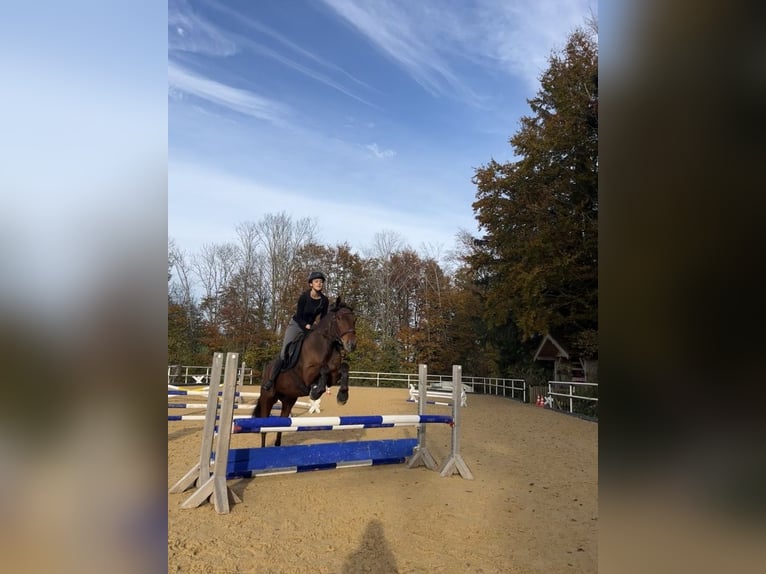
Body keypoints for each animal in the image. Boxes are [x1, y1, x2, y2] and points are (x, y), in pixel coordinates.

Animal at [254, 296, 357, 447]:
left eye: (354, 320)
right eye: (338, 318)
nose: (351, 345)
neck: (326, 345)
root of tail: (266, 369)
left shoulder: (333, 376)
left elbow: (344, 367)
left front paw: (342, 396)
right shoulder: (307, 375)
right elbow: (323, 369)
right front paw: (316, 392)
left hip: (288, 400)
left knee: (281, 424)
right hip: (267, 398)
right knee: (264, 428)